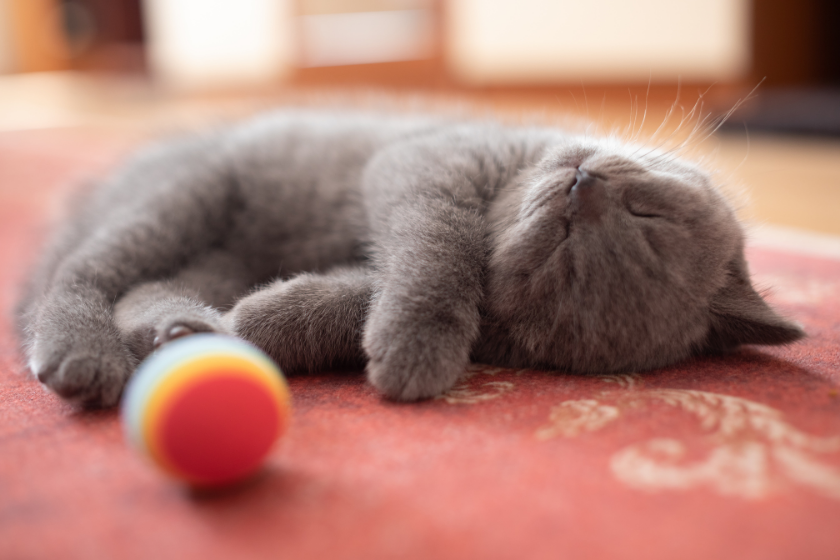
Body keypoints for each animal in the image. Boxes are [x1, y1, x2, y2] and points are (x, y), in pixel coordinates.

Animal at [14, 109, 808, 406]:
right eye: (649, 209)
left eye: (564, 252)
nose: (582, 186)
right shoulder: (423, 164)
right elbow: (438, 248)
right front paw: (417, 341)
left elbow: (369, 291)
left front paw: (271, 322)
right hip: (185, 195)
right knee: (79, 275)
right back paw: (86, 353)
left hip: (207, 254)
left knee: (140, 288)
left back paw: (184, 330)